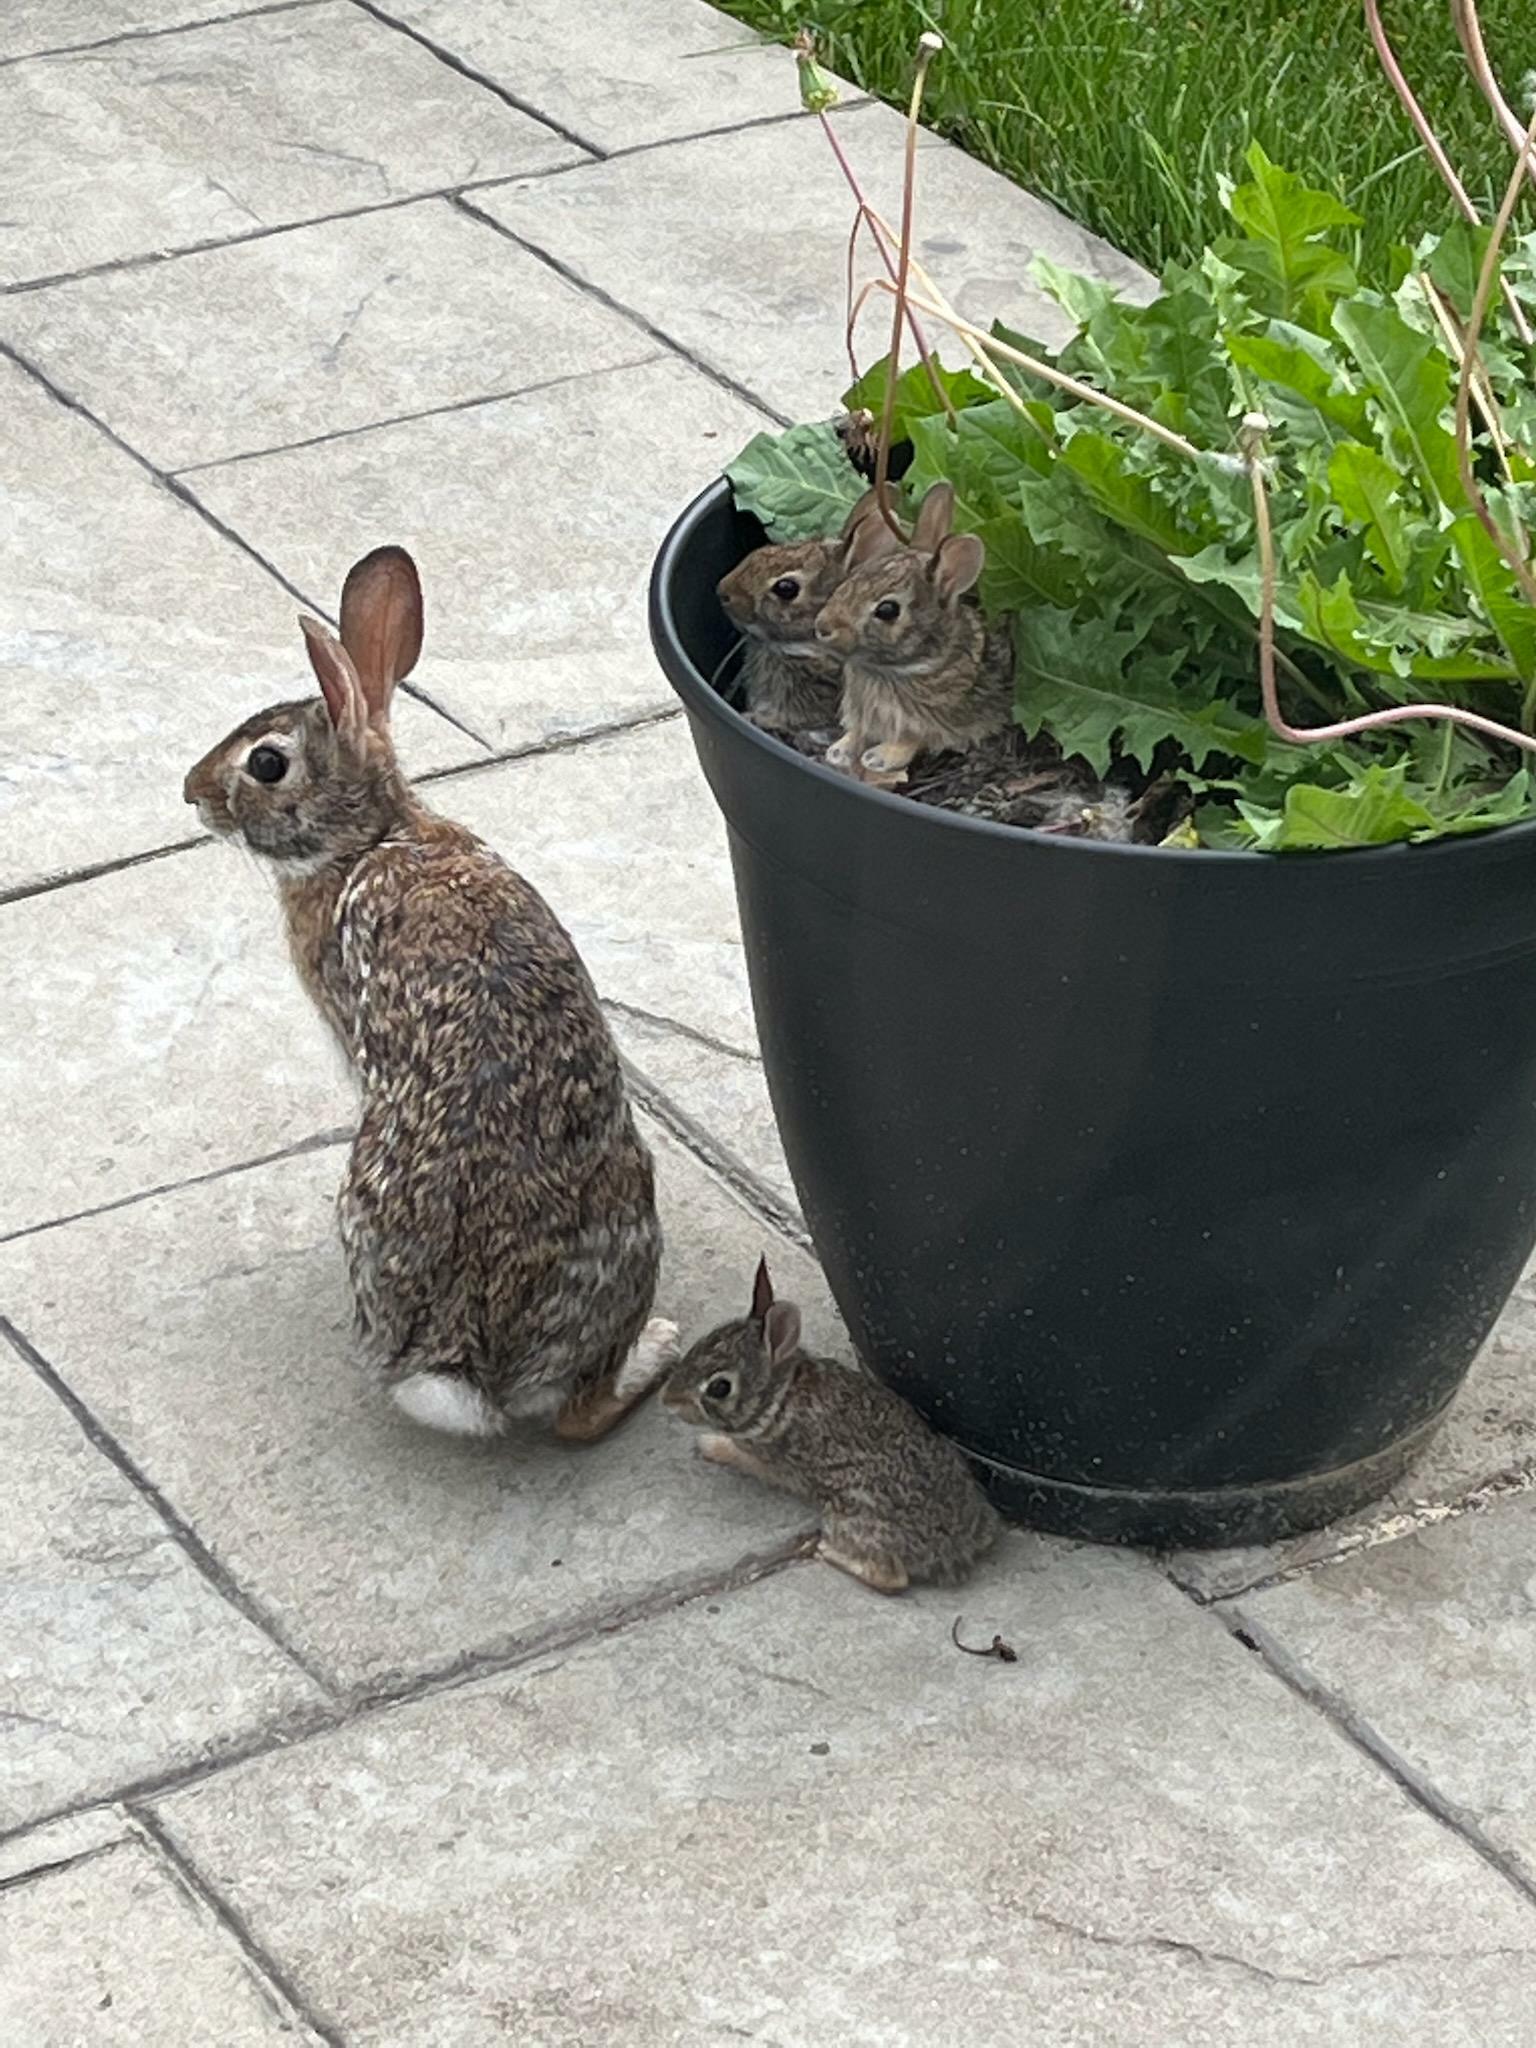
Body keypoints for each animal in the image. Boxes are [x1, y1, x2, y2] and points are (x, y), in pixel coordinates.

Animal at [183, 544, 675, 1441]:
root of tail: (462, 1362)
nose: (190, 792)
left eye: (266, 762)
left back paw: (659, 1346)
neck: (372, 839)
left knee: (581, 1419)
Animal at [663, 1253, 1003, 1589]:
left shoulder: (768, 1458)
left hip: (850, 1516)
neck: (779, 1396)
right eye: (703, 1342)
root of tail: (954, 1550)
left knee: (892, 1577)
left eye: (719, 1388)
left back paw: (826, 1551)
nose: (668, 1399)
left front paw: (708, 1444)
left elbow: (738, 1455)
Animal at [811, 483, 1015, 786]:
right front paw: (839, 750)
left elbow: (911, 741)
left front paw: (878, 758)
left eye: (887, 610)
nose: (822, 626)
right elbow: (858, 731)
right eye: (845, 584)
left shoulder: (931, 722)